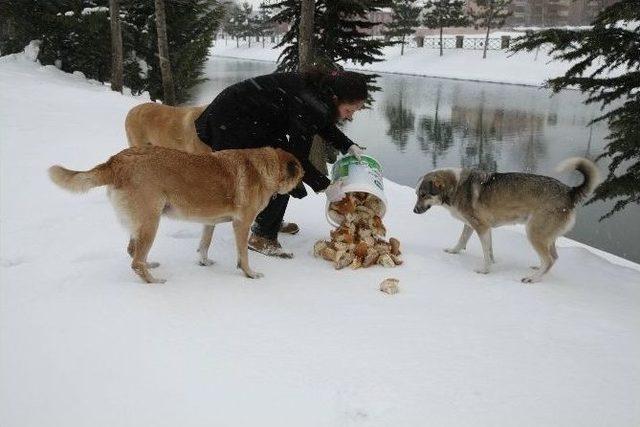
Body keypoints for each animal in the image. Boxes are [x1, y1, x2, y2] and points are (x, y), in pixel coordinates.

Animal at [48, 147, 304, 284]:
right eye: (301, 177)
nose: (305, 193)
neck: (265, 167)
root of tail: (117, 160)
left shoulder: (209, 222)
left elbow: (204, 245)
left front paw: (204, 262)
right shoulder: (241, 224)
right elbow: (243, 255)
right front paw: (249, 273)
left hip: (141, 224)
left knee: (133, 251)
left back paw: (150, 265)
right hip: (151, 223)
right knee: (135, 261)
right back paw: (153, 281)